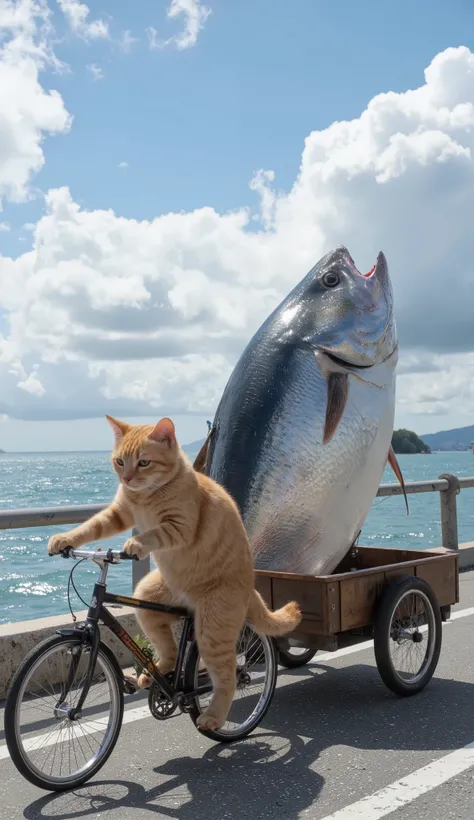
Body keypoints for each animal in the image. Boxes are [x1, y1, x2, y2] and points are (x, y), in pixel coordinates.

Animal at [47, 416, 300, 732]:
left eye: (143, 463)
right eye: (120, 461)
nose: (126, 479)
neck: (146, 495)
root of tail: (250, 587)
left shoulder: (179, 526)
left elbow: (155, 533)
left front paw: (136, 544)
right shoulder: (118, 513)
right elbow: (91, 525)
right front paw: (65, 539)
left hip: (212, 628)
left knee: (229, 675)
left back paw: (214, 716)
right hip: (152, 597)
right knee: (167, 647)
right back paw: (160, 669)